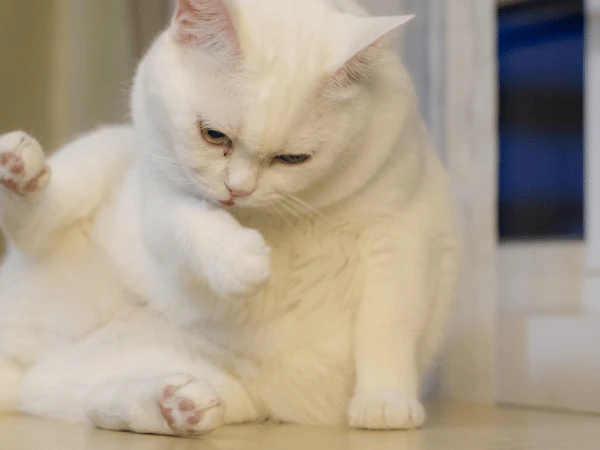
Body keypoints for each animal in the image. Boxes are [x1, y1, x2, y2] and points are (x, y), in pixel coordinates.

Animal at [0, 0, 462, 438]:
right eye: (213, 135)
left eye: (293, 159)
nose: (237, 189)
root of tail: (27, 351)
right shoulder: (162, 197)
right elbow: (192, 222)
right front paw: (241, 260)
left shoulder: (399, 235)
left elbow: (388, 328)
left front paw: (385, 403)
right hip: (96, 161)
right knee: (36, 224)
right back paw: (19, 168)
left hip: (215, 387)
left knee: (89, 401)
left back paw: (176, 405)